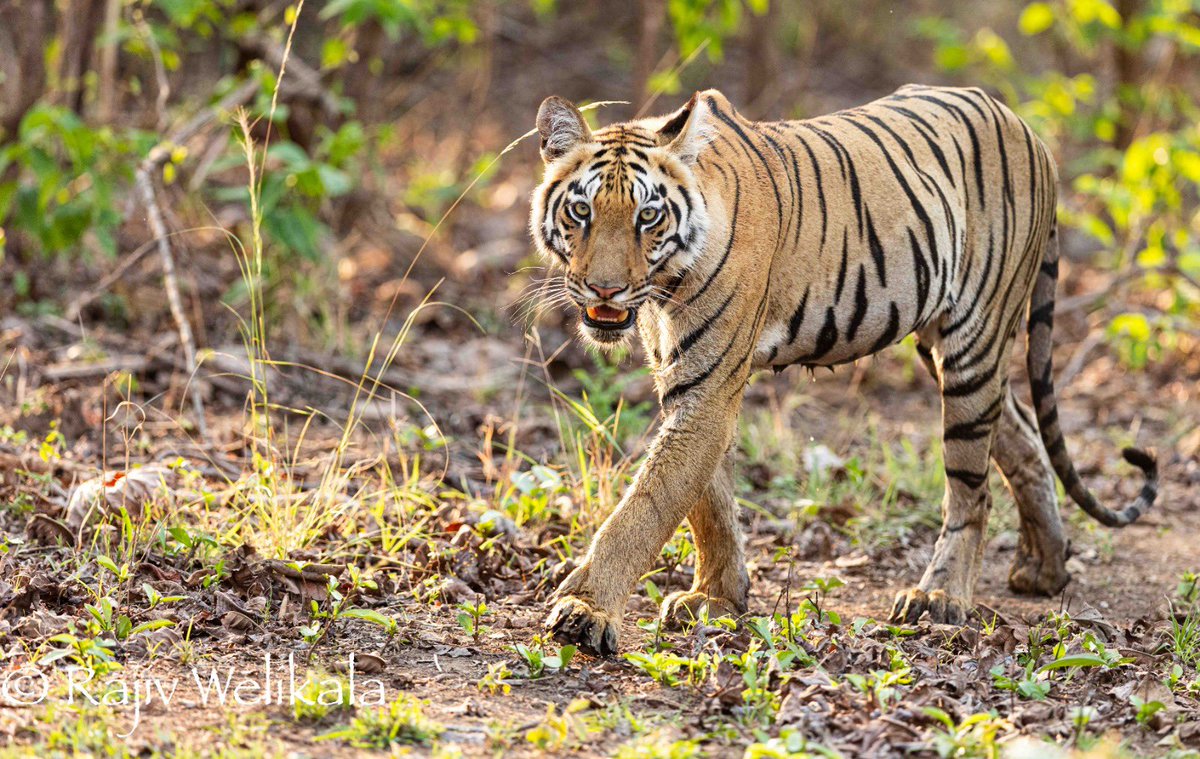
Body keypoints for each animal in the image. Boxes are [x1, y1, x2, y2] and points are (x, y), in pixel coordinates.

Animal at [528, 81, 1161, 653]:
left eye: (648, 216)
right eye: (581, 210)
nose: (605, 289)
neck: (662, 290)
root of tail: (1029, 129)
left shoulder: (707, 387)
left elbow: (647, 507)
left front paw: (586, 611)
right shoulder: (685, 380)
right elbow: (708, 503)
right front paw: (717, 598)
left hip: (975, 341)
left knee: (971, 490)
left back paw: (940, 597)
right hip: (946, 347)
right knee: (1024, 436)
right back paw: (1045, 568)